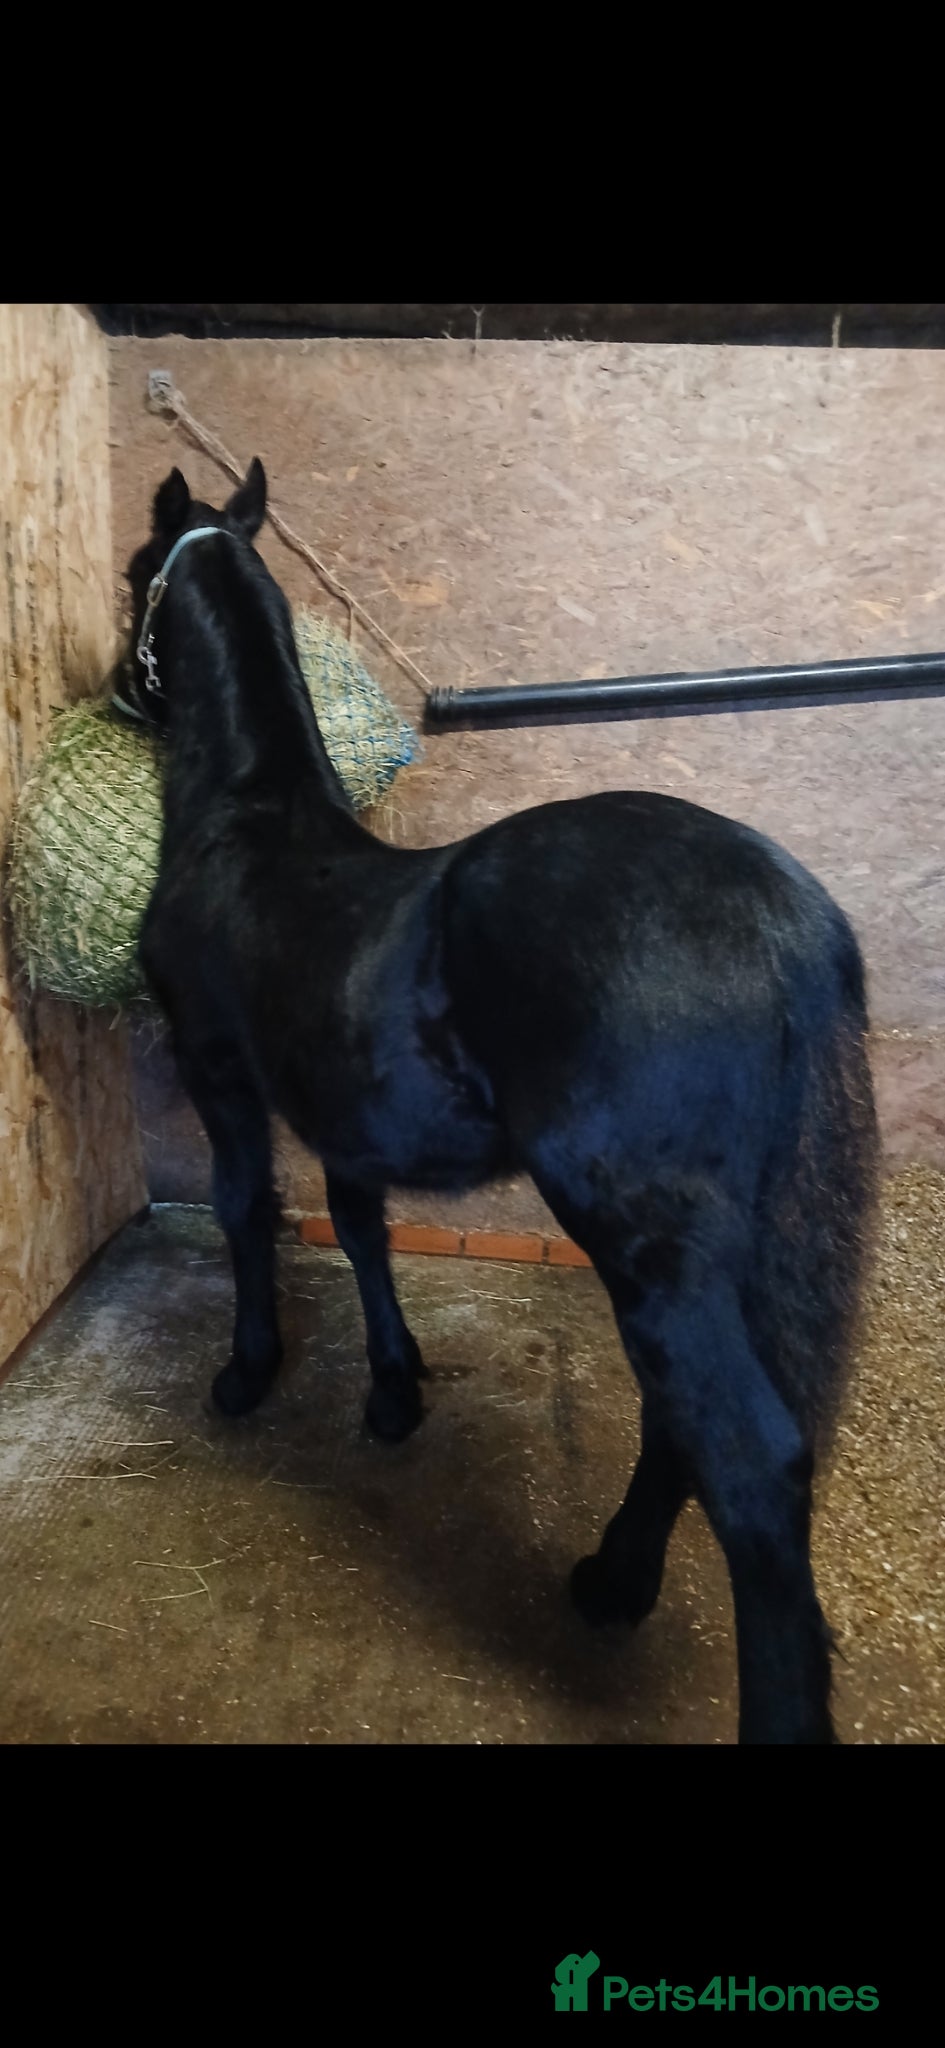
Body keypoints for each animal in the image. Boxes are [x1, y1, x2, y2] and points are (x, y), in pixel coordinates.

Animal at [124, 458, 878, 1744]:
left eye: (137, 573)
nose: (121, 688)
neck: (247, 825)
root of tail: (789, 915)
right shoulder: (348, 1111)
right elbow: (361, 1229)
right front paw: (392, 1390)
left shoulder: (218, 1072)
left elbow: (244, 1212)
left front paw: (247, 1372)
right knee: (688, 1426)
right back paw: (612, 1579)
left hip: (649, 1245)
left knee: (749, 1461)